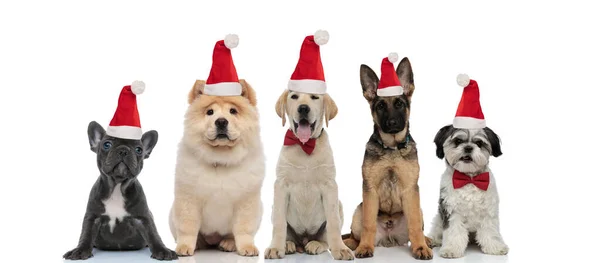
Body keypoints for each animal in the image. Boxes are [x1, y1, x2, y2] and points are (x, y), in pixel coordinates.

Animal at [62, 121, 176, 262]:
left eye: (139, 149)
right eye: (107, 144)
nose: (123, 150)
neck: (117, 187)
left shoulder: (144, 217)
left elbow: (153, 234)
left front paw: (162, 250)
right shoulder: (92, 217)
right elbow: (86, 234)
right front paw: (80, 250)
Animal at [168, 80, 264, 258]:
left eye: (233, 111)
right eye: (210, 112)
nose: (221, 121)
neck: (220, 159)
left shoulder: (246, 201)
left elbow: (243, 228)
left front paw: (247, 248)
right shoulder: (189, 198)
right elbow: (187, 227)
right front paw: (184, 247)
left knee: (231, 234)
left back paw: (229, 244)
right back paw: (199, 243)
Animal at [264, 91, 356, 262]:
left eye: (315, 97)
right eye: (294, 96)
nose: (303, 108)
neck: (305, 145)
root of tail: (304, 240)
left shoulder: (330, 186)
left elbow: (333, 222)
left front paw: (340, 249)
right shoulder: (281, 186)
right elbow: (280, 223)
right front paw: (275, 248)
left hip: (339, 206)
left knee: (325, 239)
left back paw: (316, 244)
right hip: (274, 208)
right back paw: (287, 244)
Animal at [340, 55, 434, 260]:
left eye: (399, 104)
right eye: (381, 106)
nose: (391, 123)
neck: (391, 148)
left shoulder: (411, 191)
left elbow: (415, 225)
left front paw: (420, 247)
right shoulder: (370, 191)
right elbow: (369, 224)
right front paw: (365, 247)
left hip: (419, 207)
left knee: (418, 226)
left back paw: (427, 240)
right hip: (358, 210)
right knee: (354, 234)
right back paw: (352, 243)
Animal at [428, 75, 508, 260]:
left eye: (479, 143)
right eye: (458, 141)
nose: (468, 148)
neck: (469, 178)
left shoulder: (488, 212)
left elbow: (490, 232)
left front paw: (495, 247)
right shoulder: (451, 212)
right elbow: (453, 233)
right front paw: (451, 250)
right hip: (438, 218)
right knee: (437, 229)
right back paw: (433, 240)